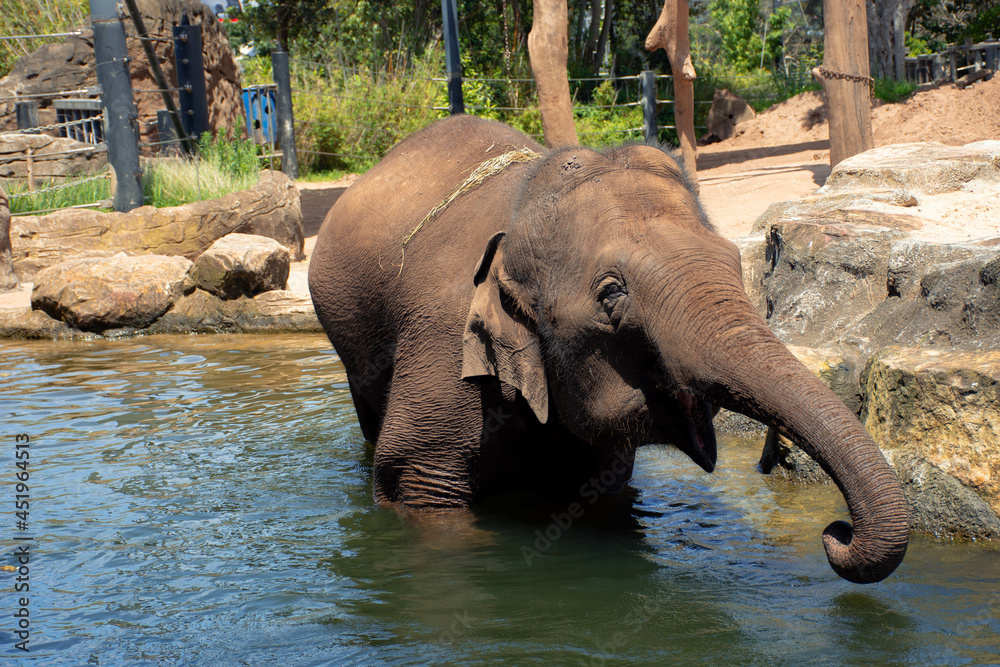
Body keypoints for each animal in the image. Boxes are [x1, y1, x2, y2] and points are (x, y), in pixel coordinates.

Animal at [308, 114, 909, 584]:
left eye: (733, 260)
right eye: (613, 293)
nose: (835, 533)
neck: (518, 215)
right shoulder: (442, 349)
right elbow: (417, 485)